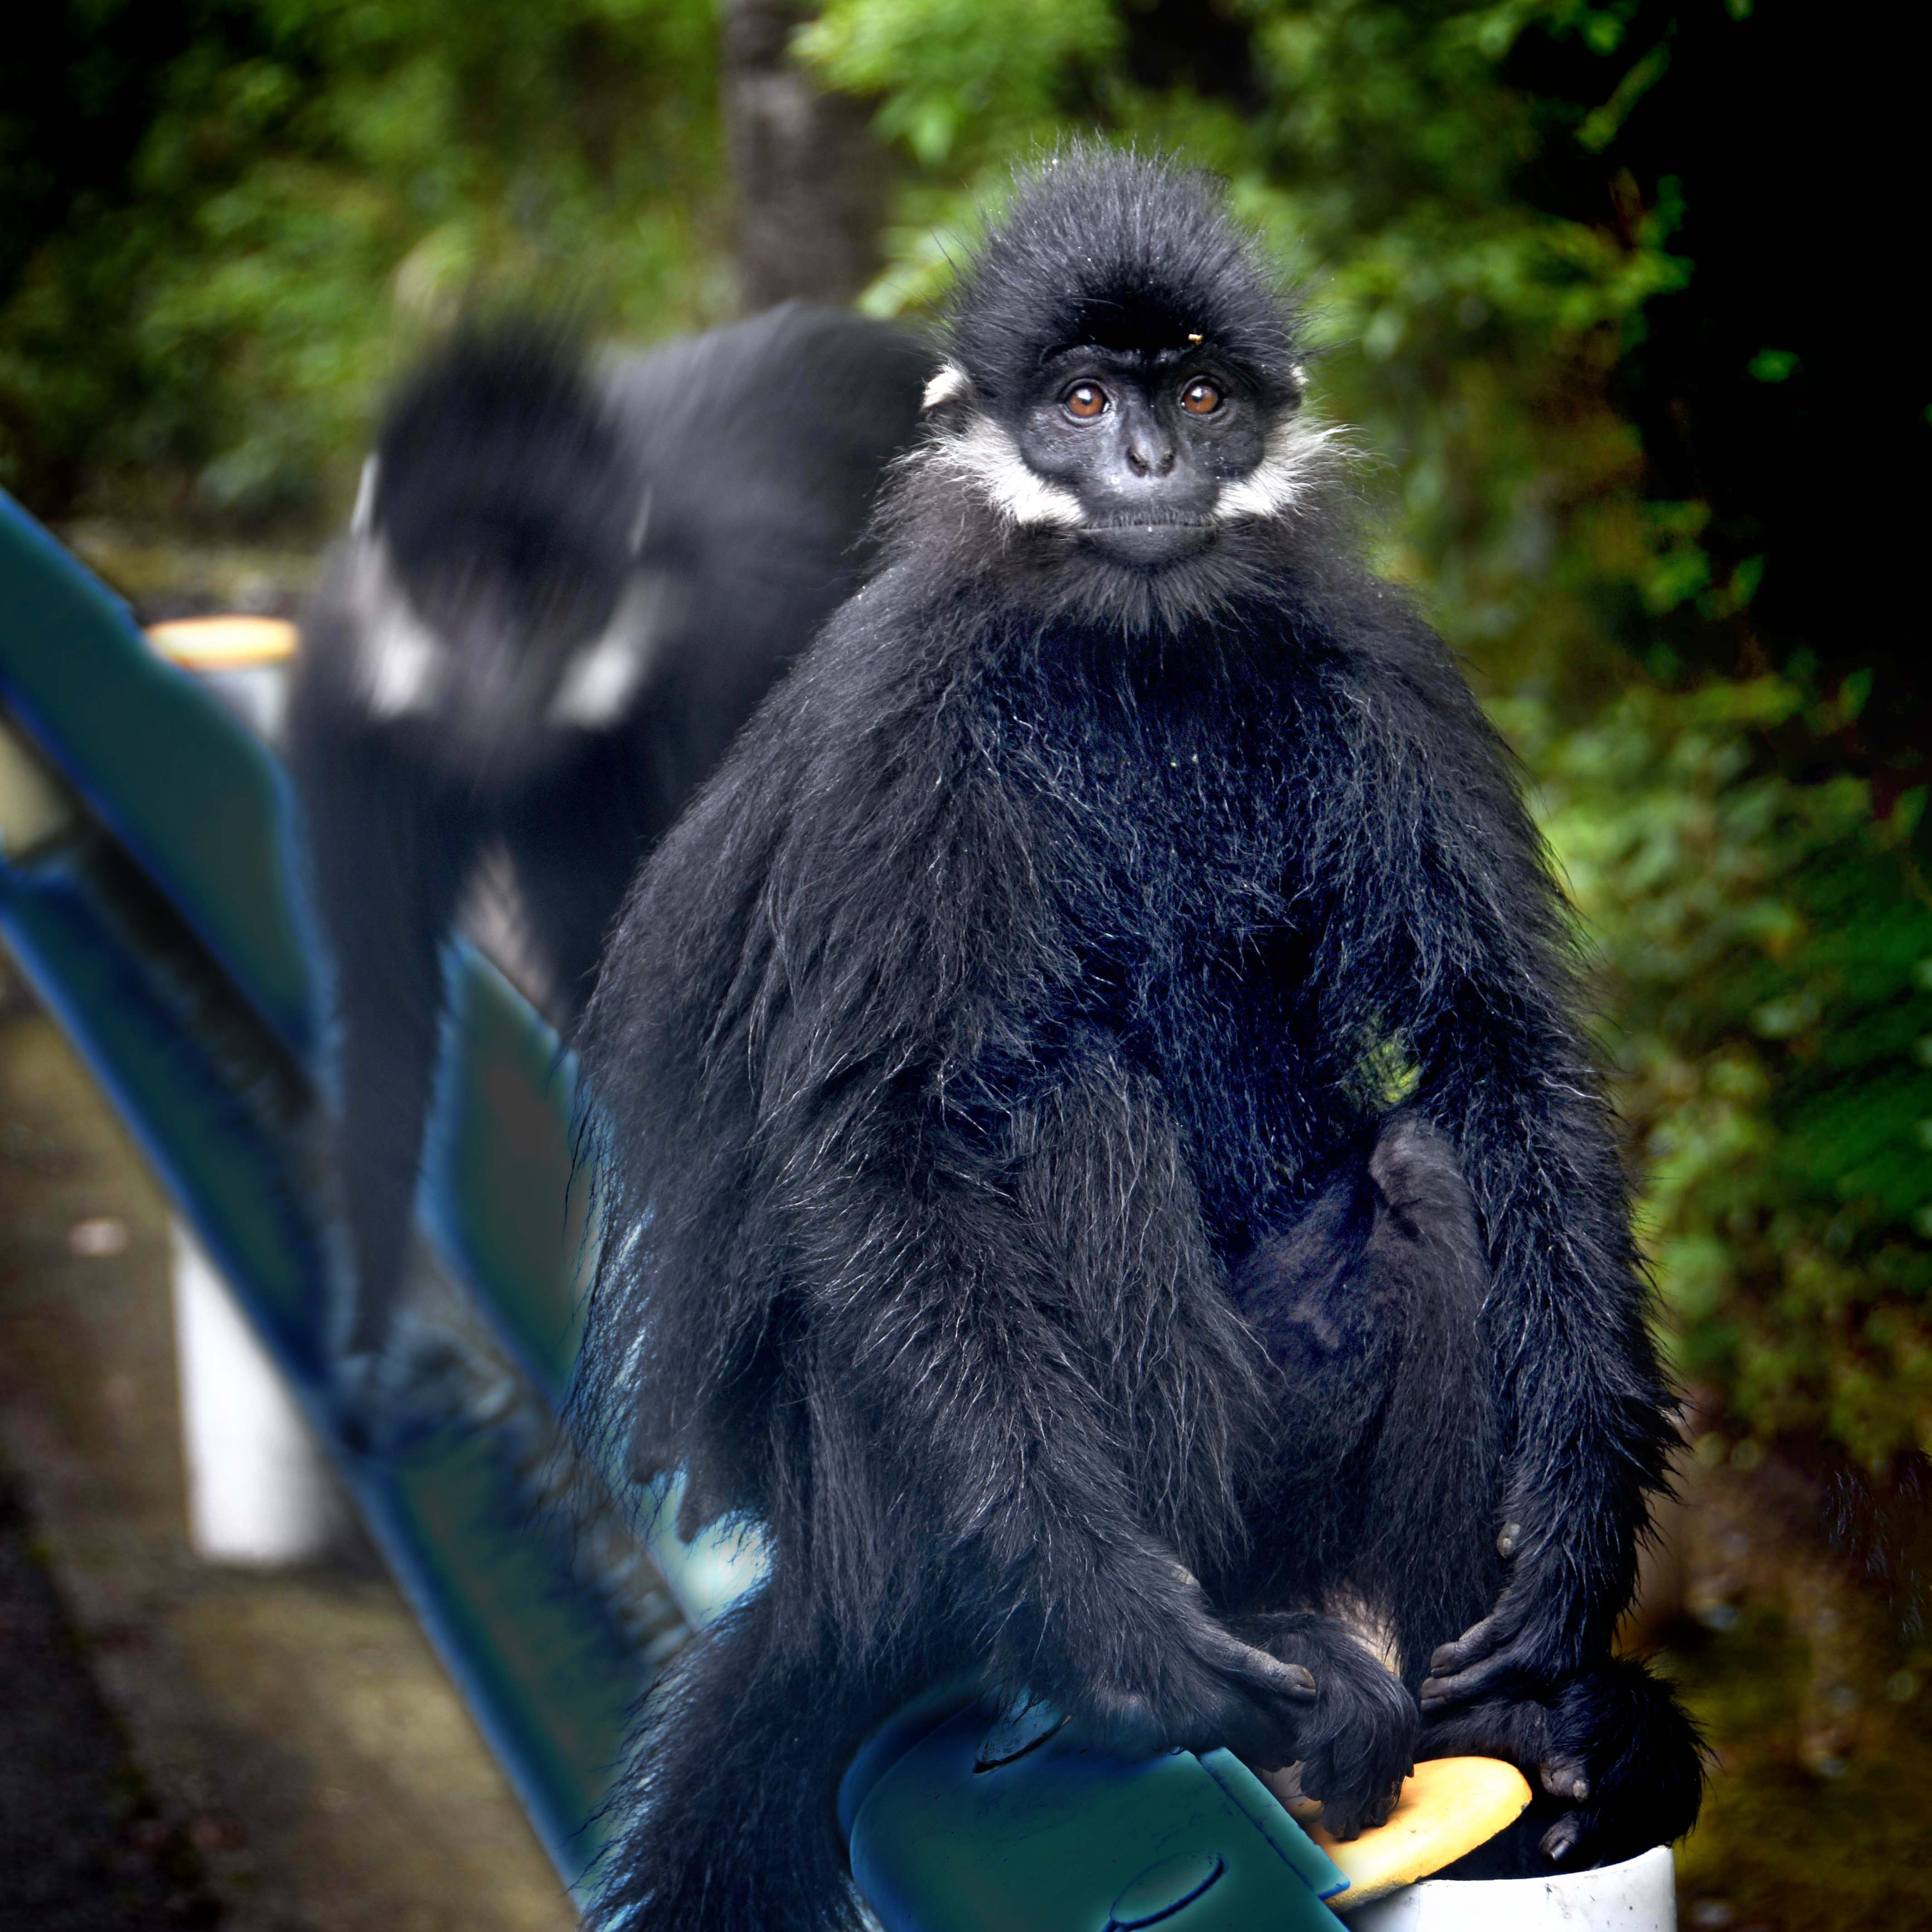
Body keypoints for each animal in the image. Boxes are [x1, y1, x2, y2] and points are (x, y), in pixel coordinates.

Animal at [290, 301, 931, 1360]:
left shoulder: (730, 661)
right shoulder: (346, 711)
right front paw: (368, 1352)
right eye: (462, 587)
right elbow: (388, 1006)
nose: (503, 674)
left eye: (555, 603)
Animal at [572, 154, 1708, 1932]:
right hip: (905, 1507)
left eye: (1195, 394)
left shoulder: (1372, 658)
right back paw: (1158, 1667)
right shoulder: (905, 719)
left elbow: (1492, 1044)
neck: (1132, 647)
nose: (1150, 465)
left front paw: (1578, 1522)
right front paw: (1115, 1618)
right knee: (1060, 1104)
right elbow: (879, 1136)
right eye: (1086, 400)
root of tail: (830, 1572)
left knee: (1422, 1162)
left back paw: (1500, 1727)